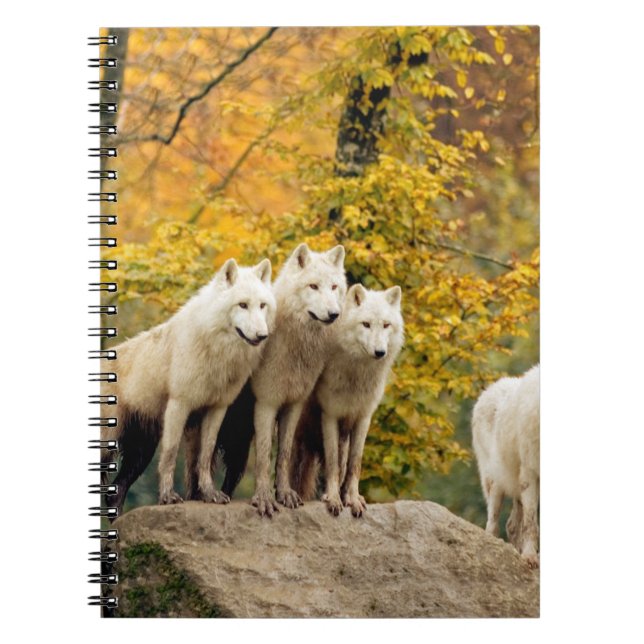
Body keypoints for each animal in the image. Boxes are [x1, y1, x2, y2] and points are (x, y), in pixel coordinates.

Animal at [100, 258, 275, 513]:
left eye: (262, 305)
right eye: (242, 305)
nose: (263, 335)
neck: (217, 349)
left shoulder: (217, 408)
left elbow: (205, 454)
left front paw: (210, 493)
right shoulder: (179, 405)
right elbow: (171, 453)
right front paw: (167, 496)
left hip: (141, 451)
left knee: (115, 494)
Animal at [244, 243, 347, 516]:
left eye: (334, 287)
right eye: (313, 286)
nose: (334, 314)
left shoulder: (293, 405)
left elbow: (283, 454)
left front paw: (284, 494)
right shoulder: (266, 404)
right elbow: (264, 456)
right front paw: (264, 498)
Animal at [290, 284, 404, 517]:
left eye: (386, 325)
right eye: (366, 324)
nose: (380, 352)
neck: (357, 375)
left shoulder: (363, 418)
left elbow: (354, 465)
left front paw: (352, 499)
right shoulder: (330, 415)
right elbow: (333, 464)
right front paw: (333, 499)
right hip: (301, 438)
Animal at [471, 364, 540, 568]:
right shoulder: (530, 472)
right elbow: (531, 523)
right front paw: (530, 557)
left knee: (511, 525)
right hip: (495, 483)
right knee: (492, 525)